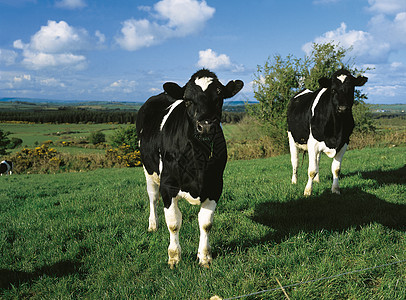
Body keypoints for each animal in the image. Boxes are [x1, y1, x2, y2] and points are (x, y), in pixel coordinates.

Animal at [136, 69, 244, 268]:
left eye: (219, 97)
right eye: (187, 100)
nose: (206, 126)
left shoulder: (215, 186)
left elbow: (206, 223)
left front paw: (204, 257)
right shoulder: (168, 186)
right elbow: (173, 223)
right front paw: (174, 257)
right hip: (148, 170)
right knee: (152, 197)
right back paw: (153, 225)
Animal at [286, 68, 368, 196]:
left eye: (351, 89)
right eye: (333, 89)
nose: (342, 108)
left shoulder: (344, 143)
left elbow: (336, 169)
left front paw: (335, 189)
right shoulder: (312, 143)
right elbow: (311, 170)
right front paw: (308, 191)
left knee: (317, 160)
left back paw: (317, 180)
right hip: (291, 138)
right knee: (295, 162)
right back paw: (294, 181)